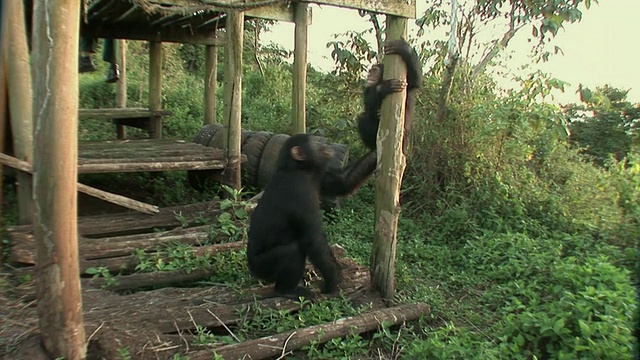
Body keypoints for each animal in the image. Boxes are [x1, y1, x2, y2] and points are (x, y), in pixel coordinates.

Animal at [245, 134, 376, 300]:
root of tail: (251, 268)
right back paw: (286, 290)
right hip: (263, 267)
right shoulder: (300, 191)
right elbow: (313, 239)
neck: (301, 169)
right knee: (293, 251)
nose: (324, 143)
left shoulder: (320, 176)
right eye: (314, 141)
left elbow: (343, 182)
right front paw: (333, 280)